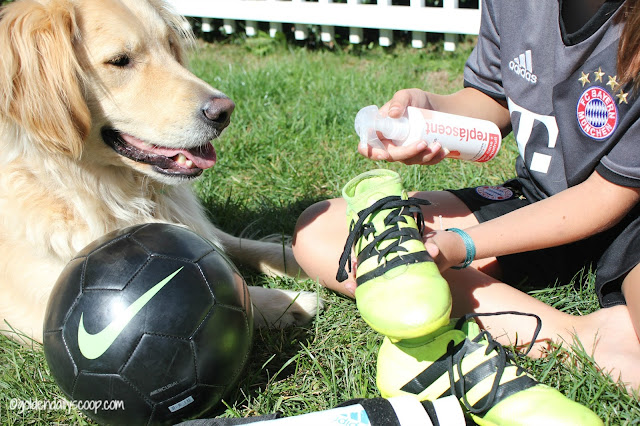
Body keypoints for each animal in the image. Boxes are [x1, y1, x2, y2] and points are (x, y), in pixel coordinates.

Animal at [0, 0, 320, 342]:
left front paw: (297, 259)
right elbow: (239, 293)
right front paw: (289, 302)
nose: (224, 112)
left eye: (169, 46)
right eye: (119, 61)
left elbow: (236, 241)